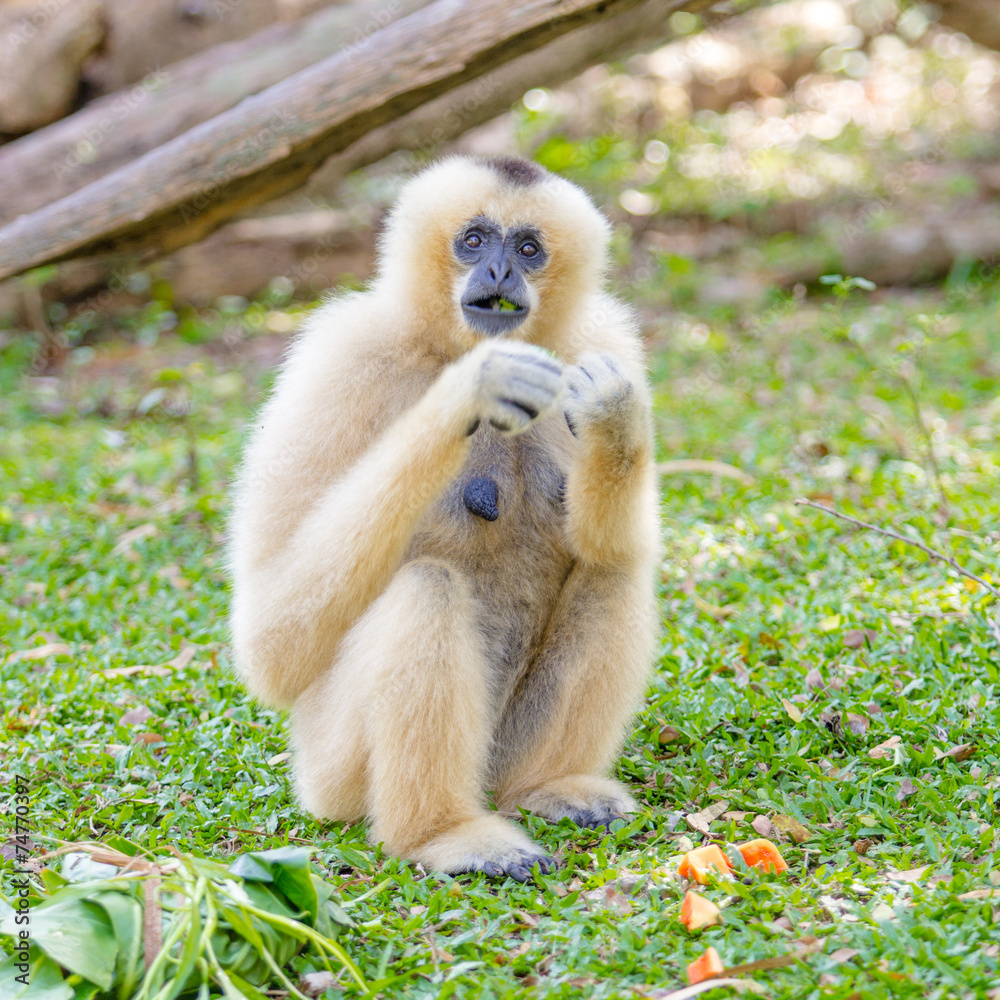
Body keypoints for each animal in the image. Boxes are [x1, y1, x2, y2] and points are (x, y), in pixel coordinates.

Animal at [229, 154, 661, 882]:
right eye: (474, 240)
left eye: (528, 248)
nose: (500, 273)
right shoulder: (345, 357)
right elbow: (272, 645)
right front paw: (470, 388)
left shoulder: (602, 340)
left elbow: (615, 540)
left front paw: (613, 412)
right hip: (331, 771)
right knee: (426, 587)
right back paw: (441, 835)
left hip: (504, 751)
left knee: (614, 568)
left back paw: (550, 787)